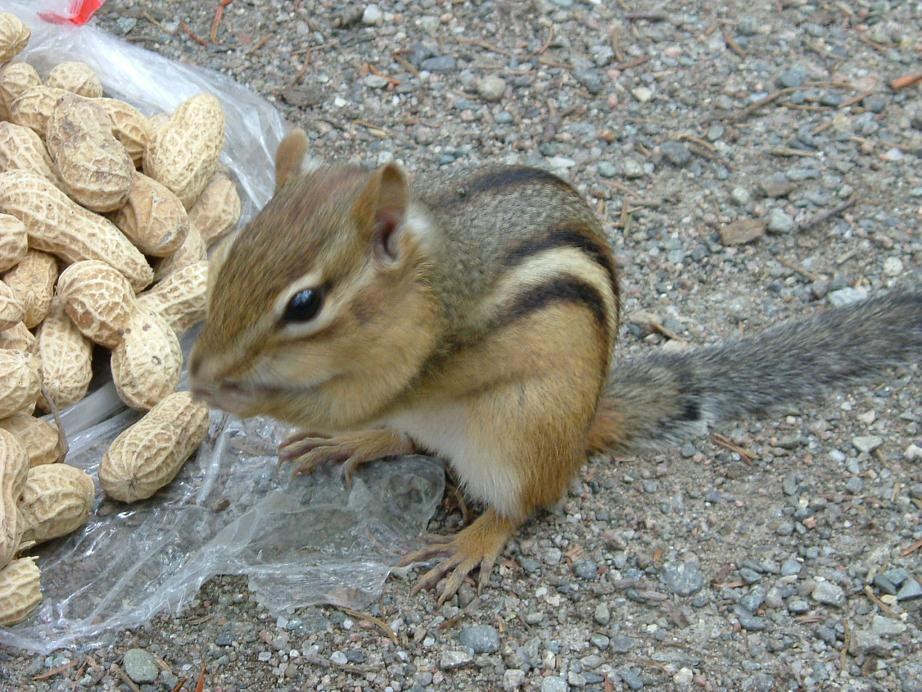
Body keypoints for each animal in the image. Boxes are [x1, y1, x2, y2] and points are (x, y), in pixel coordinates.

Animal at [189, 128, 922, 604]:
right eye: (231, 257)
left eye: (305, 303)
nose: (202, 364)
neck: (427, 284)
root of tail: (582, 428)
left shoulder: (412, 366)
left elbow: (342, 397)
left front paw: (221, 390)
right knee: (406, 438)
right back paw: (356, 443)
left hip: (519, 434)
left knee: (525, 503)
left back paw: (470, 543)